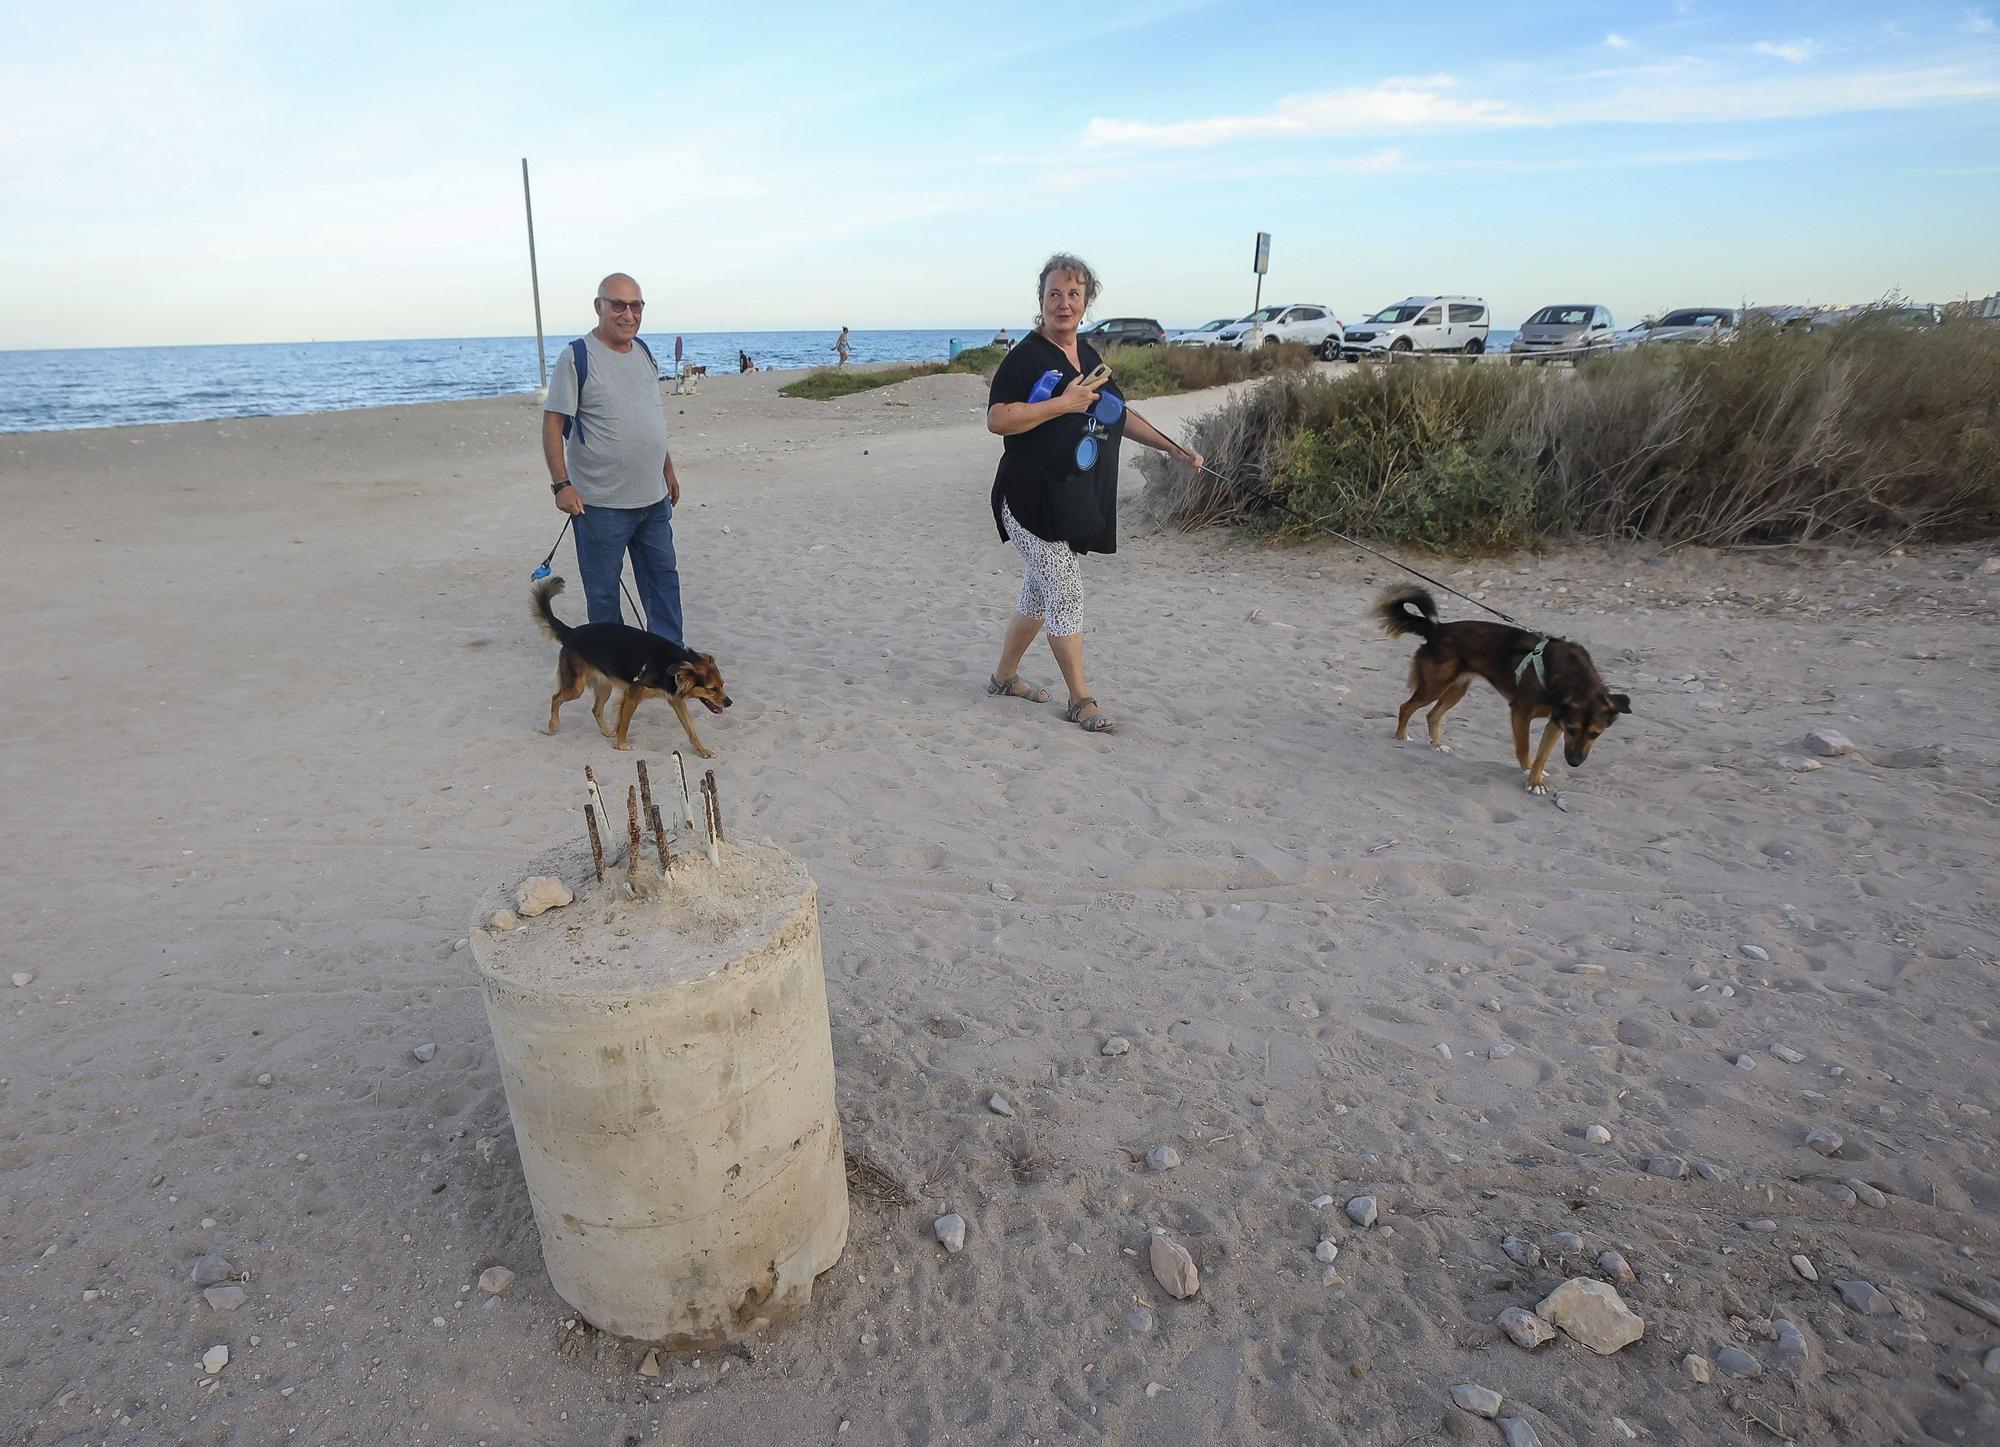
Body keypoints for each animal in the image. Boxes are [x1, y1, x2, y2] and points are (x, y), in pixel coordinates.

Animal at [532, 575, 736, 755]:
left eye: (722, 685)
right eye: (712, 689)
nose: (729, 702)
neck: (671, 664)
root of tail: (572, 632)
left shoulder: (675, 700)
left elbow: (691, 729)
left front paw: (702, 750)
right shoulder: (632, 694)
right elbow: (625, 723)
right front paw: (622, 745)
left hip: (604, 686)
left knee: (595, 709)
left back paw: (606, 730)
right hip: (576, 687)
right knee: (556, 698)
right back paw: (553, 725)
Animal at [1384, 583, 1632, 795]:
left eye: (1595, 734)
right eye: (1572, 730)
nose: (1574, 763)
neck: (1570, 677)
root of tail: (1437, 629)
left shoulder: (1555, 722)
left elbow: (1542, 755)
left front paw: (1536, 779)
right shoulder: (1521, 713)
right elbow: (1525, 748)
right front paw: (1528, 772)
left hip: (1457, 689)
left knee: (1432, 715)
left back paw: (1437, 746)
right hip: (1434, 687)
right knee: (1406, 707)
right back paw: (1401, 738)